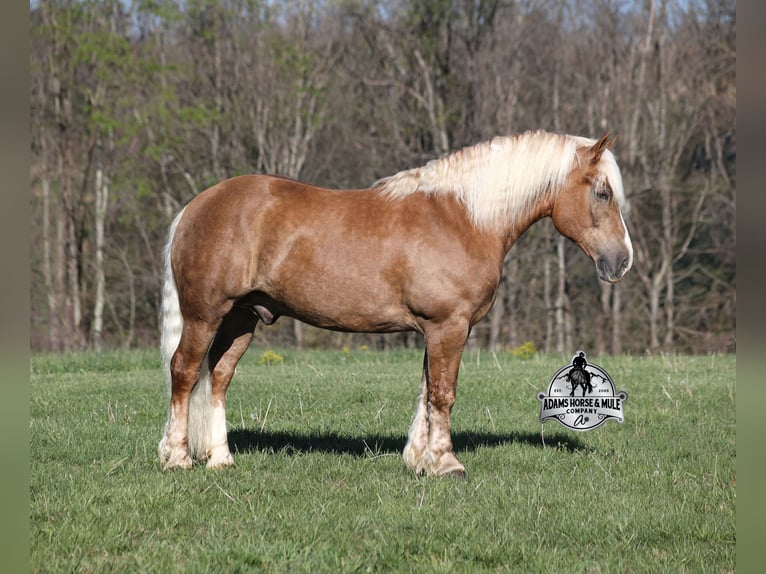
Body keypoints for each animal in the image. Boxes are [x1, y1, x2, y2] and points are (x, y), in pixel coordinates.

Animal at [157, 130, 633, 478]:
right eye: (603, 193)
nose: (622, 261)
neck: (462, 217)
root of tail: (195, 206)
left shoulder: (435, 329)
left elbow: (426, 390)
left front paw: (418, 459)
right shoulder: (448, 326)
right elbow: (442, 393)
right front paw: (446, 463)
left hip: (242, 317)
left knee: (219, 376)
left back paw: (220, 458)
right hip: (205, 314)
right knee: (184, 371)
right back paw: (178, 458)